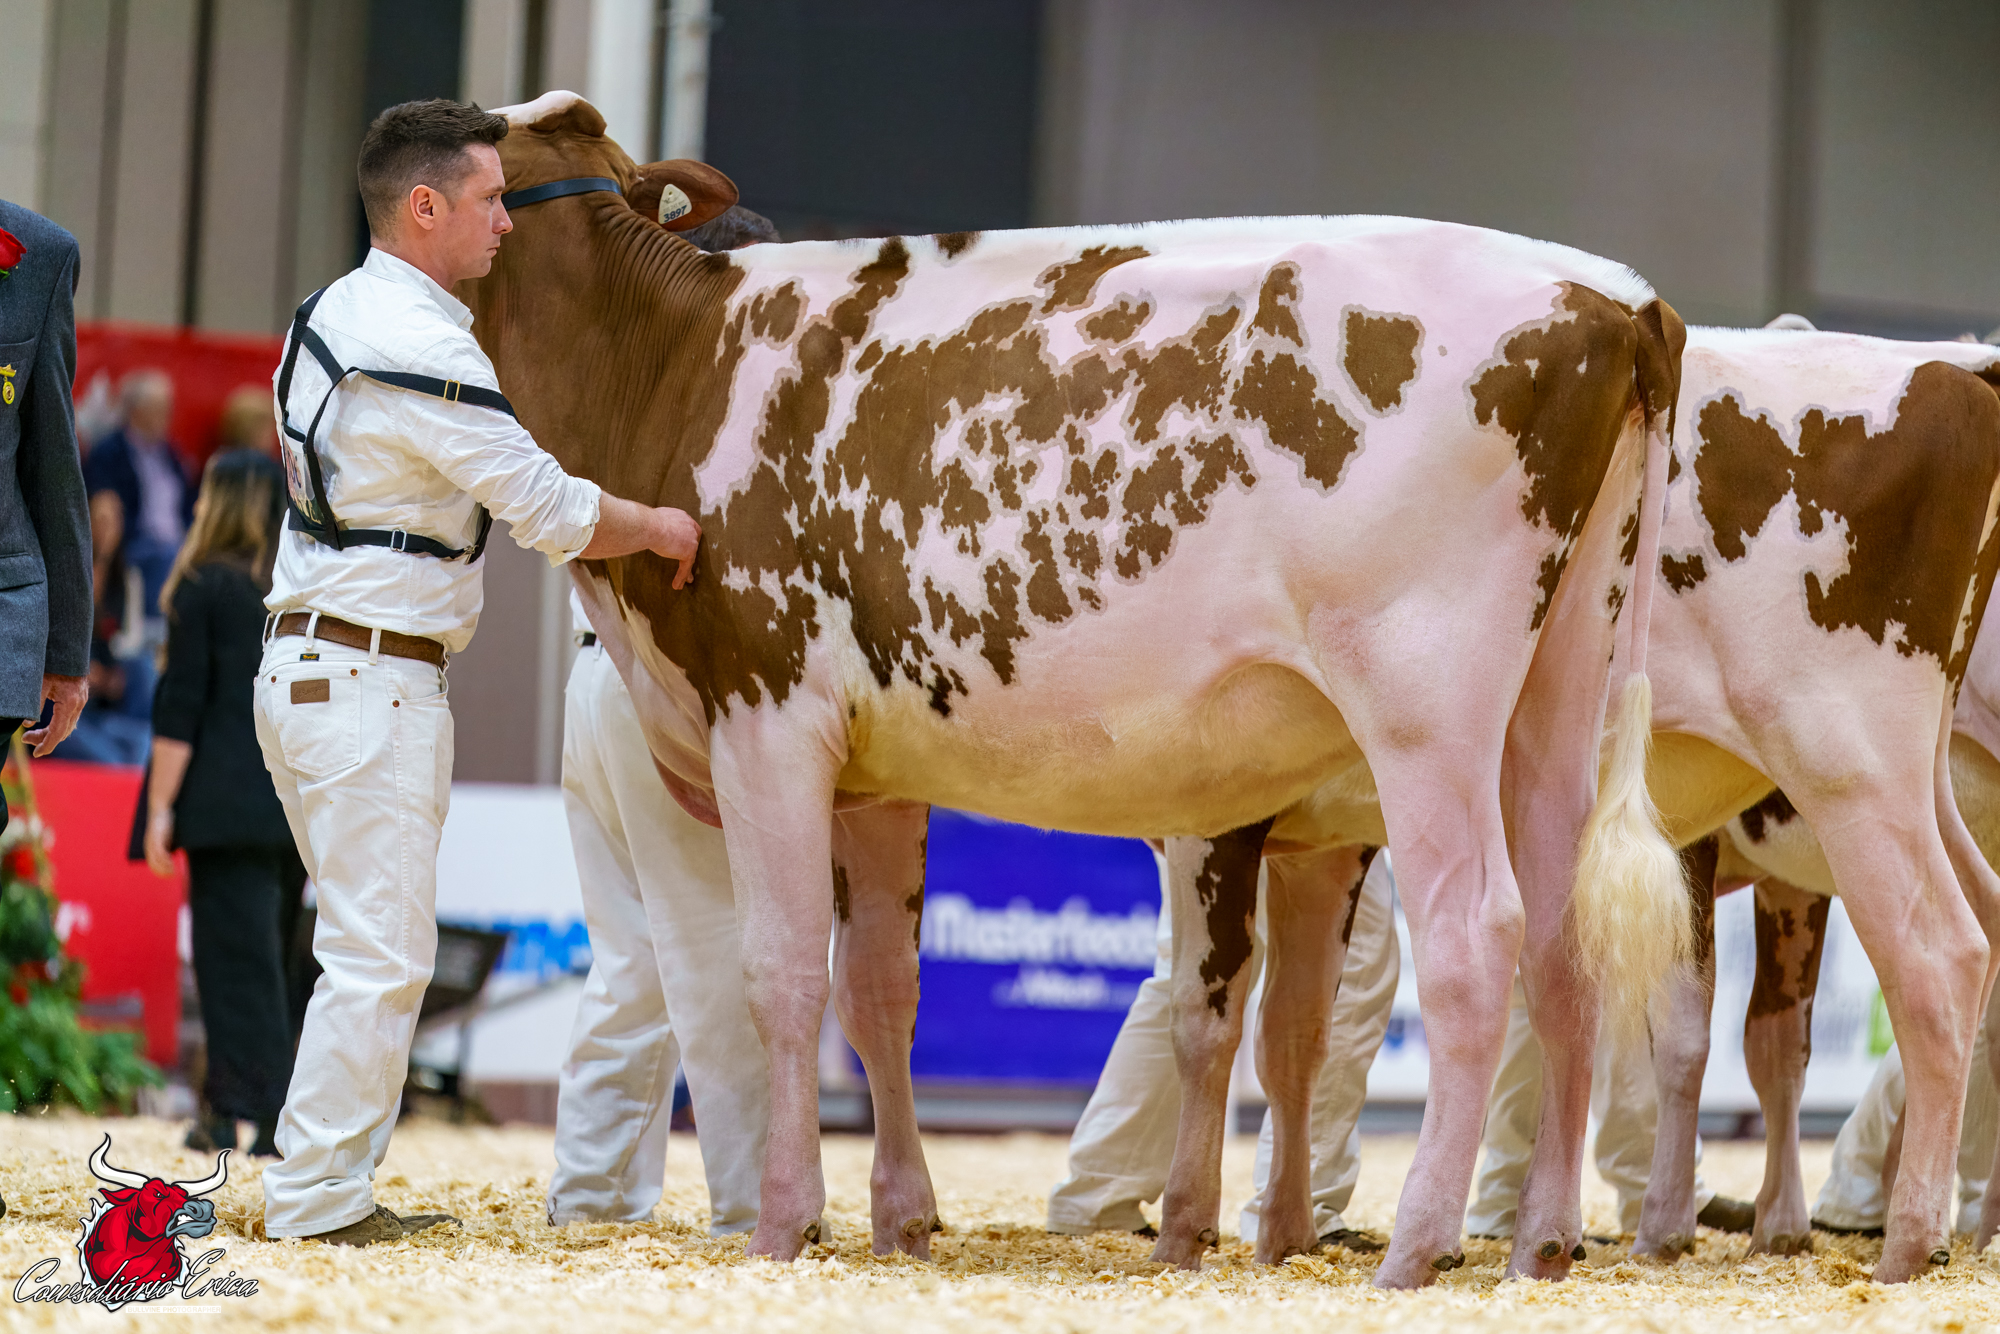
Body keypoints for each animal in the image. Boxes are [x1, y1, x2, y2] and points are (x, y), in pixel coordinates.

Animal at [460, 91, 1687, 1286]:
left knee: (1475, 934)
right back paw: (1541, 1242)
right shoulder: (875, 770)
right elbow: (879, 990)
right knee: (1565, 943)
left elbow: (782, 974)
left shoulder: (767, 714)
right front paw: (901, 1219)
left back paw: (1418, 1242)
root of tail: (1614, 299)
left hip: (1423, 701)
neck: (674, 362)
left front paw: (783, 1224)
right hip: (1559, 692)